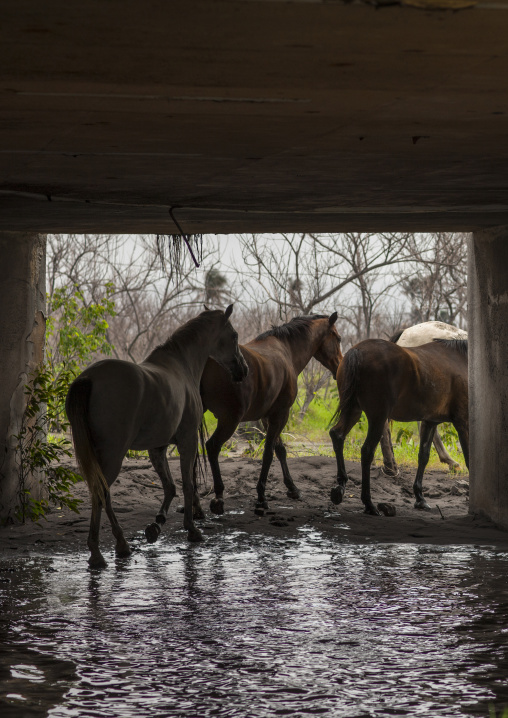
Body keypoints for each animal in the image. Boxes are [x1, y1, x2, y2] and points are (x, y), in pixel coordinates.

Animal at [65, 306, 248, 568]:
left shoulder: (158, 447)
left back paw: (120, 545)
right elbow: (188, 484)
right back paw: (100, 552)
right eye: (234, 335)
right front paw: (192, 529)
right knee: (101, 493)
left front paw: (156, 525)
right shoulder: (188, 442)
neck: (181, 365)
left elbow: (169, 486)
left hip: (101, 456)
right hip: (113, 456)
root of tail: (87, 378)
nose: (243, 370)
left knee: (102, 494)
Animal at [201, 313, 343, 513]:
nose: (339, 366)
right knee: (212, 446)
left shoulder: (268, 417)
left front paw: (292, 488)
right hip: (229, 420)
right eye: (338, 338)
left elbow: (279, 449)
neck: (286, 350)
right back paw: (218, 497)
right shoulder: (280, 414)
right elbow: (268, 453)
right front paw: (261, 497)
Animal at [329, 338, 468, 515]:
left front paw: (420, 498)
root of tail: (357, 351)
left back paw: (340, 488)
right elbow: (470, 459)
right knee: (367, 451)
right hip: (378, 417)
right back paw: (369, 504)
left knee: (337, 435)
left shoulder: (429, 422)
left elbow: (423, 456)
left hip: (353, 410)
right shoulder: (463, 422)